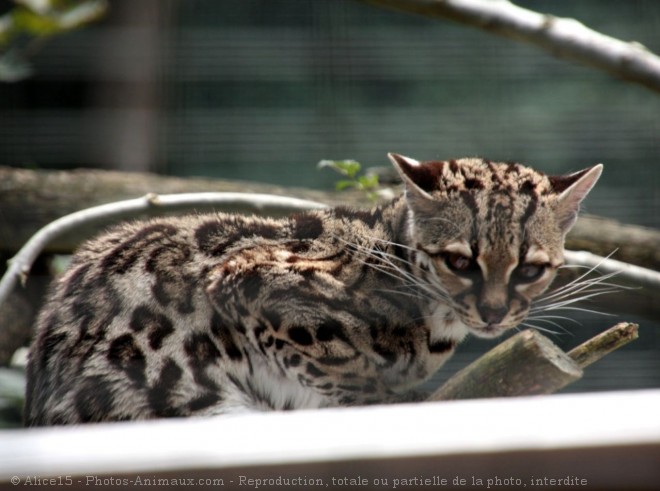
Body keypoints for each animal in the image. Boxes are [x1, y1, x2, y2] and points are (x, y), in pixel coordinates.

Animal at [24, 155, 604, 426]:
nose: (493, 312)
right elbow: (336, 361)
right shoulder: (250, 279)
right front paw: (377, 397)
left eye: (529, 269)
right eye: (460, 262)